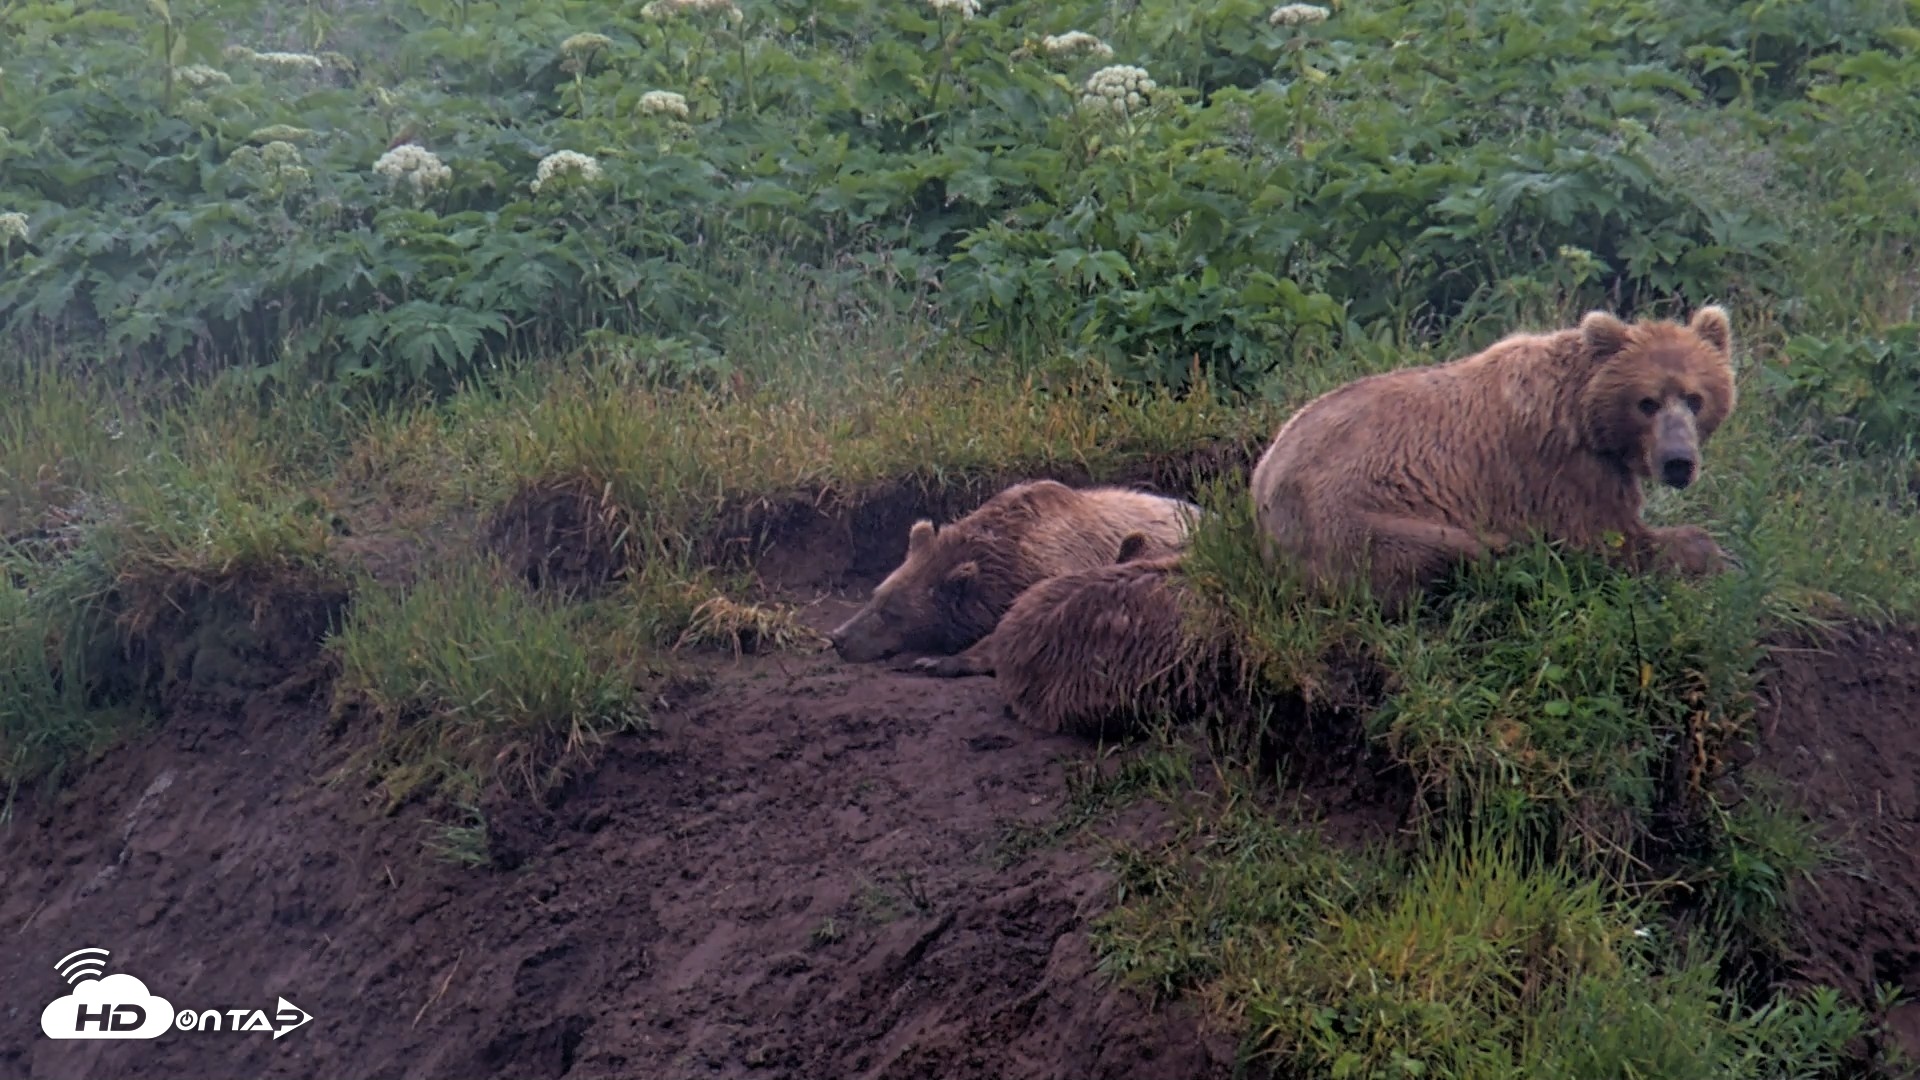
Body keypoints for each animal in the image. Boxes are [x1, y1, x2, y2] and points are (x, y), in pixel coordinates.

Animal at [1248, 305, 1738, 617]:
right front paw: (1714, 553)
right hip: (1350, 519)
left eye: (1695, 398)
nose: (1678, 461)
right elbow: (1606, 540)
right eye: (1647, 402)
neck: (1585, 415)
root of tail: (1260, 483)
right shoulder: (1559, 468)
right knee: (1447, 550)